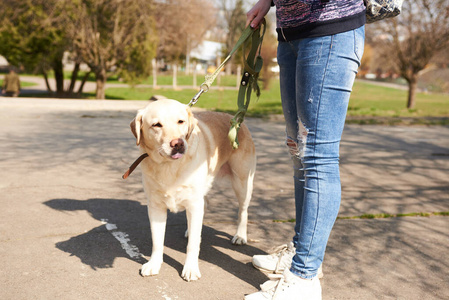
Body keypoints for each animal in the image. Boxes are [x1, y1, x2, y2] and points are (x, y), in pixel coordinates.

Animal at [130, 98, 256, 282]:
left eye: (180, 121)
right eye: (156, 125)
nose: (178, 143)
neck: (169, 166)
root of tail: (237, 120)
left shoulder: (195, 203)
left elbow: (193, 245)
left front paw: (190, 268)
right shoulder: (155, 206)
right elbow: (157, 241)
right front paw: (154, 264)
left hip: (242, 183)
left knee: (243, 211)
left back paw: (240, 236)